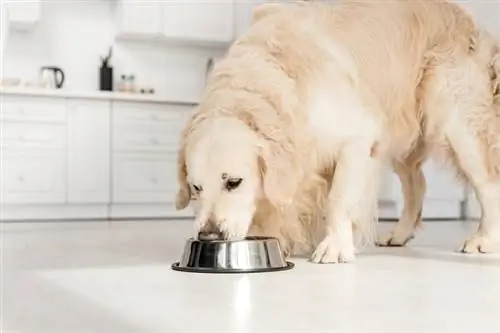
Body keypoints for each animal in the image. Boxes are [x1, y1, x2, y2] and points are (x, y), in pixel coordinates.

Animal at [174, 0, 498, 262]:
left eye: (234, 182)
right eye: (196, 188)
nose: (208, 236)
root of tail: (465, 17)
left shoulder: (356, 139)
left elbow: (338, 200)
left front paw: (335, 246)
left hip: (455, 122)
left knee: (487, 184)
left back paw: (484, 239)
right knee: (416, 184)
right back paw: (400, 234)